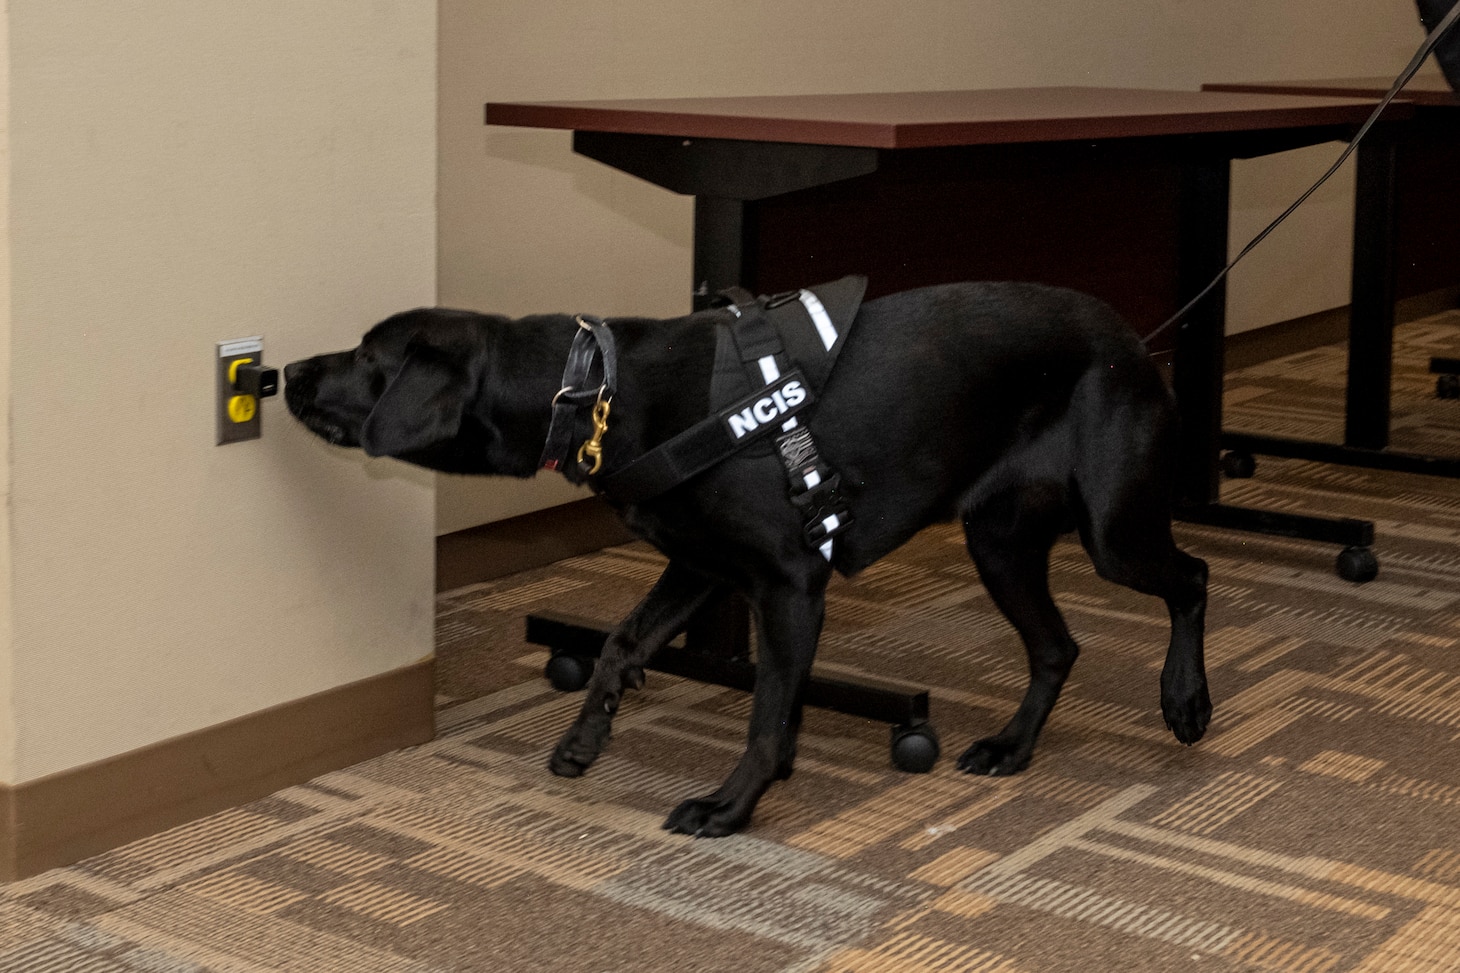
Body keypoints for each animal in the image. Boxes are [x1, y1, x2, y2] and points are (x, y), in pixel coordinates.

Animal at [284, 280, 1208, 835]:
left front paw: (734, 802)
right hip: (999, 541)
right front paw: (586, 737)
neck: (598, 390)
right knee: (1058, 645)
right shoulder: (702, 566)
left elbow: (764, 713)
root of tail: (1131, 336)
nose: (289, 370)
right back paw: (1012, 747)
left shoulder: (790, 582)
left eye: (367, 359)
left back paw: (1186, 699)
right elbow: (620, 643)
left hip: (1112, 532)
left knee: (1190, 578)